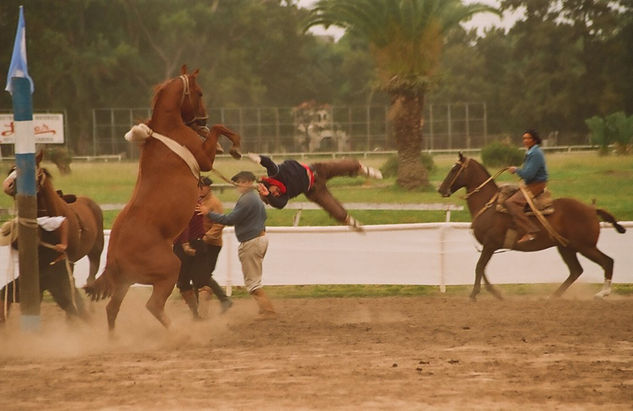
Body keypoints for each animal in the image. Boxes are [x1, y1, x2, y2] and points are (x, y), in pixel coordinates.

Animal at [84, 66, 242, 334]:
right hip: (169, 269)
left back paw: (115, 339)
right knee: (154, 305)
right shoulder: (204, 159)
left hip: (126, 283)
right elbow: (220, 129)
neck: (168, 129)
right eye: (200, 93)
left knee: (112, 308)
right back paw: (179, 334)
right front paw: (234, 146)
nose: (203, 121)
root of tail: (113, 257)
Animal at [436, 153, 624, 300]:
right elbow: (482, 270)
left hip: (585, 246)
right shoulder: (490, 246)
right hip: (566, 247)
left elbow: (479, 267)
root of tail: (591, 209)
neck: (488, 204)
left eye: (454, 169)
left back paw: (602, 293)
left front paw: (475, 294)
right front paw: (496, 293)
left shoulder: (490, 244)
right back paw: (552, 296)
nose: (441, 189)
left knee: (607, 262)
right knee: (576, 271)